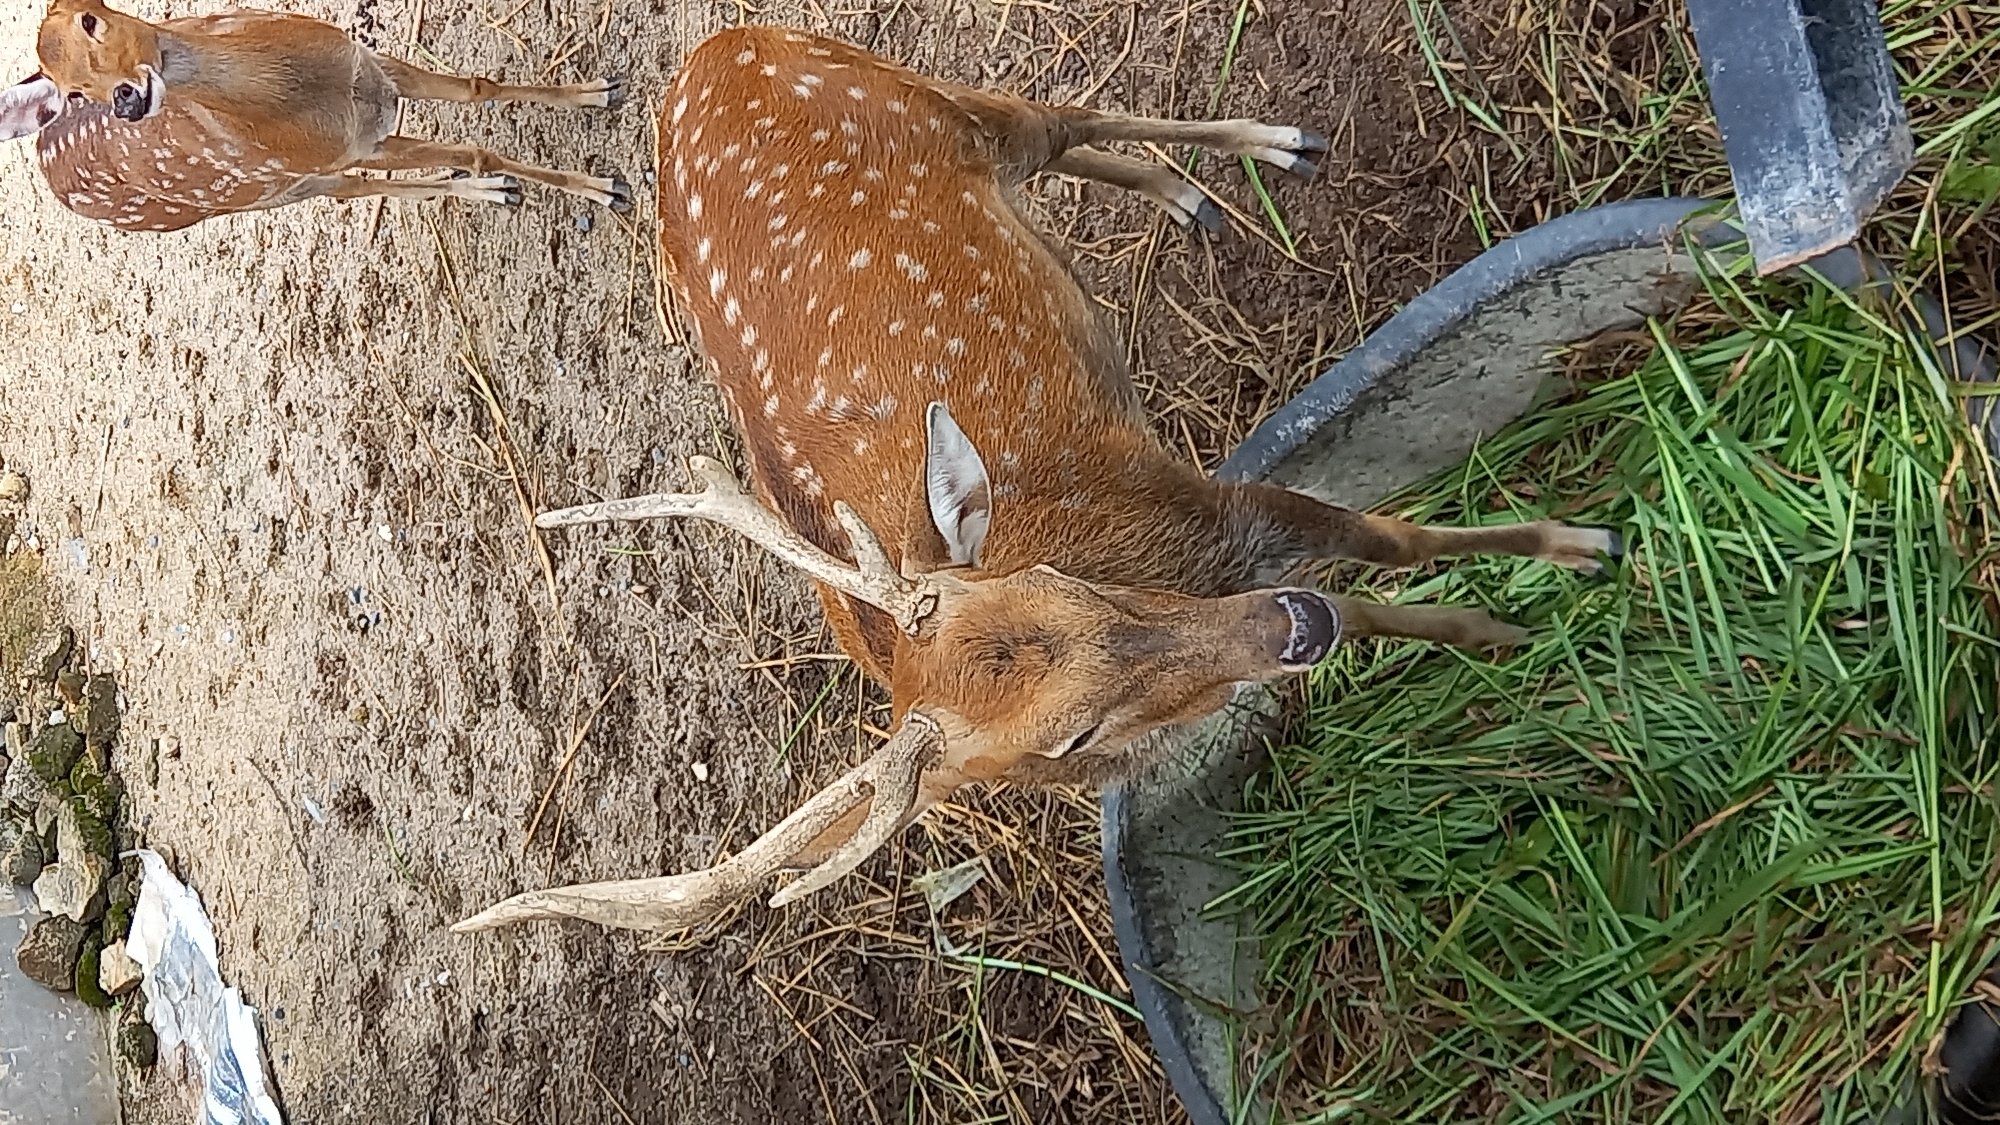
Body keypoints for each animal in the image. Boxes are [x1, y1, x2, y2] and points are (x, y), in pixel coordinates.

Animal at [0, 0, 629, 233]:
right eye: (72, 91)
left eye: (89, 18)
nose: (124, 99)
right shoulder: (353, 145)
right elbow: (477, 148)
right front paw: (605, 189)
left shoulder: (373, 68)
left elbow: (479, 88)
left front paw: (600, 91)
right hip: (280, 189)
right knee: (358, 190)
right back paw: (494, 189)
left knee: (370, 187)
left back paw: (496, 190)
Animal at [451, 26, 1620, 936]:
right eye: (1071, 735)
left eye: (1072, 586)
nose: (1286, 630)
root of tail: (708, 52)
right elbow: (1370, 597)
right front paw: (1500, 628)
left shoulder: (1217, 506)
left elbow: (1391, 543)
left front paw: (1571, 556)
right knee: (1073, 150)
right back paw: (1188, 199)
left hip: (924, 97)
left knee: (1068, 112)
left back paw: (1273, 146)